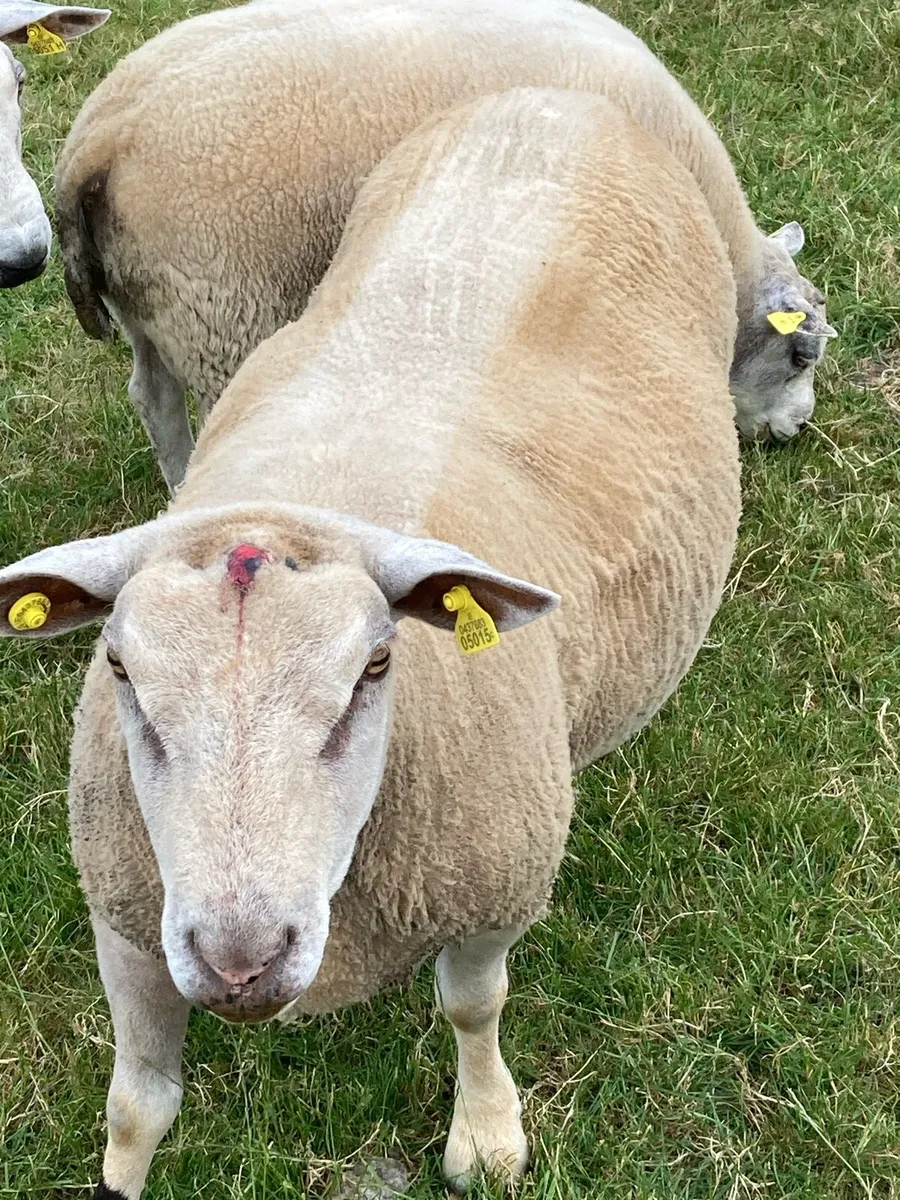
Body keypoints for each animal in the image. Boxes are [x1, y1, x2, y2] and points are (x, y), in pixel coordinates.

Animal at [3, 88, 742, 1195]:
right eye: (122, 671)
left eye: (377, 667)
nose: (240, 961)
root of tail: (553, 100)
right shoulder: (129, 917)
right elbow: (137, 1103)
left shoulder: (492, 892)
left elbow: (473, 1008)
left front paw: (486, 1136)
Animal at [55, 0, 836, 494]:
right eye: (800, 355)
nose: (796, 431)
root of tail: (100, 135)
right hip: (223, 306)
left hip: (157, 302)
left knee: (153, 399)